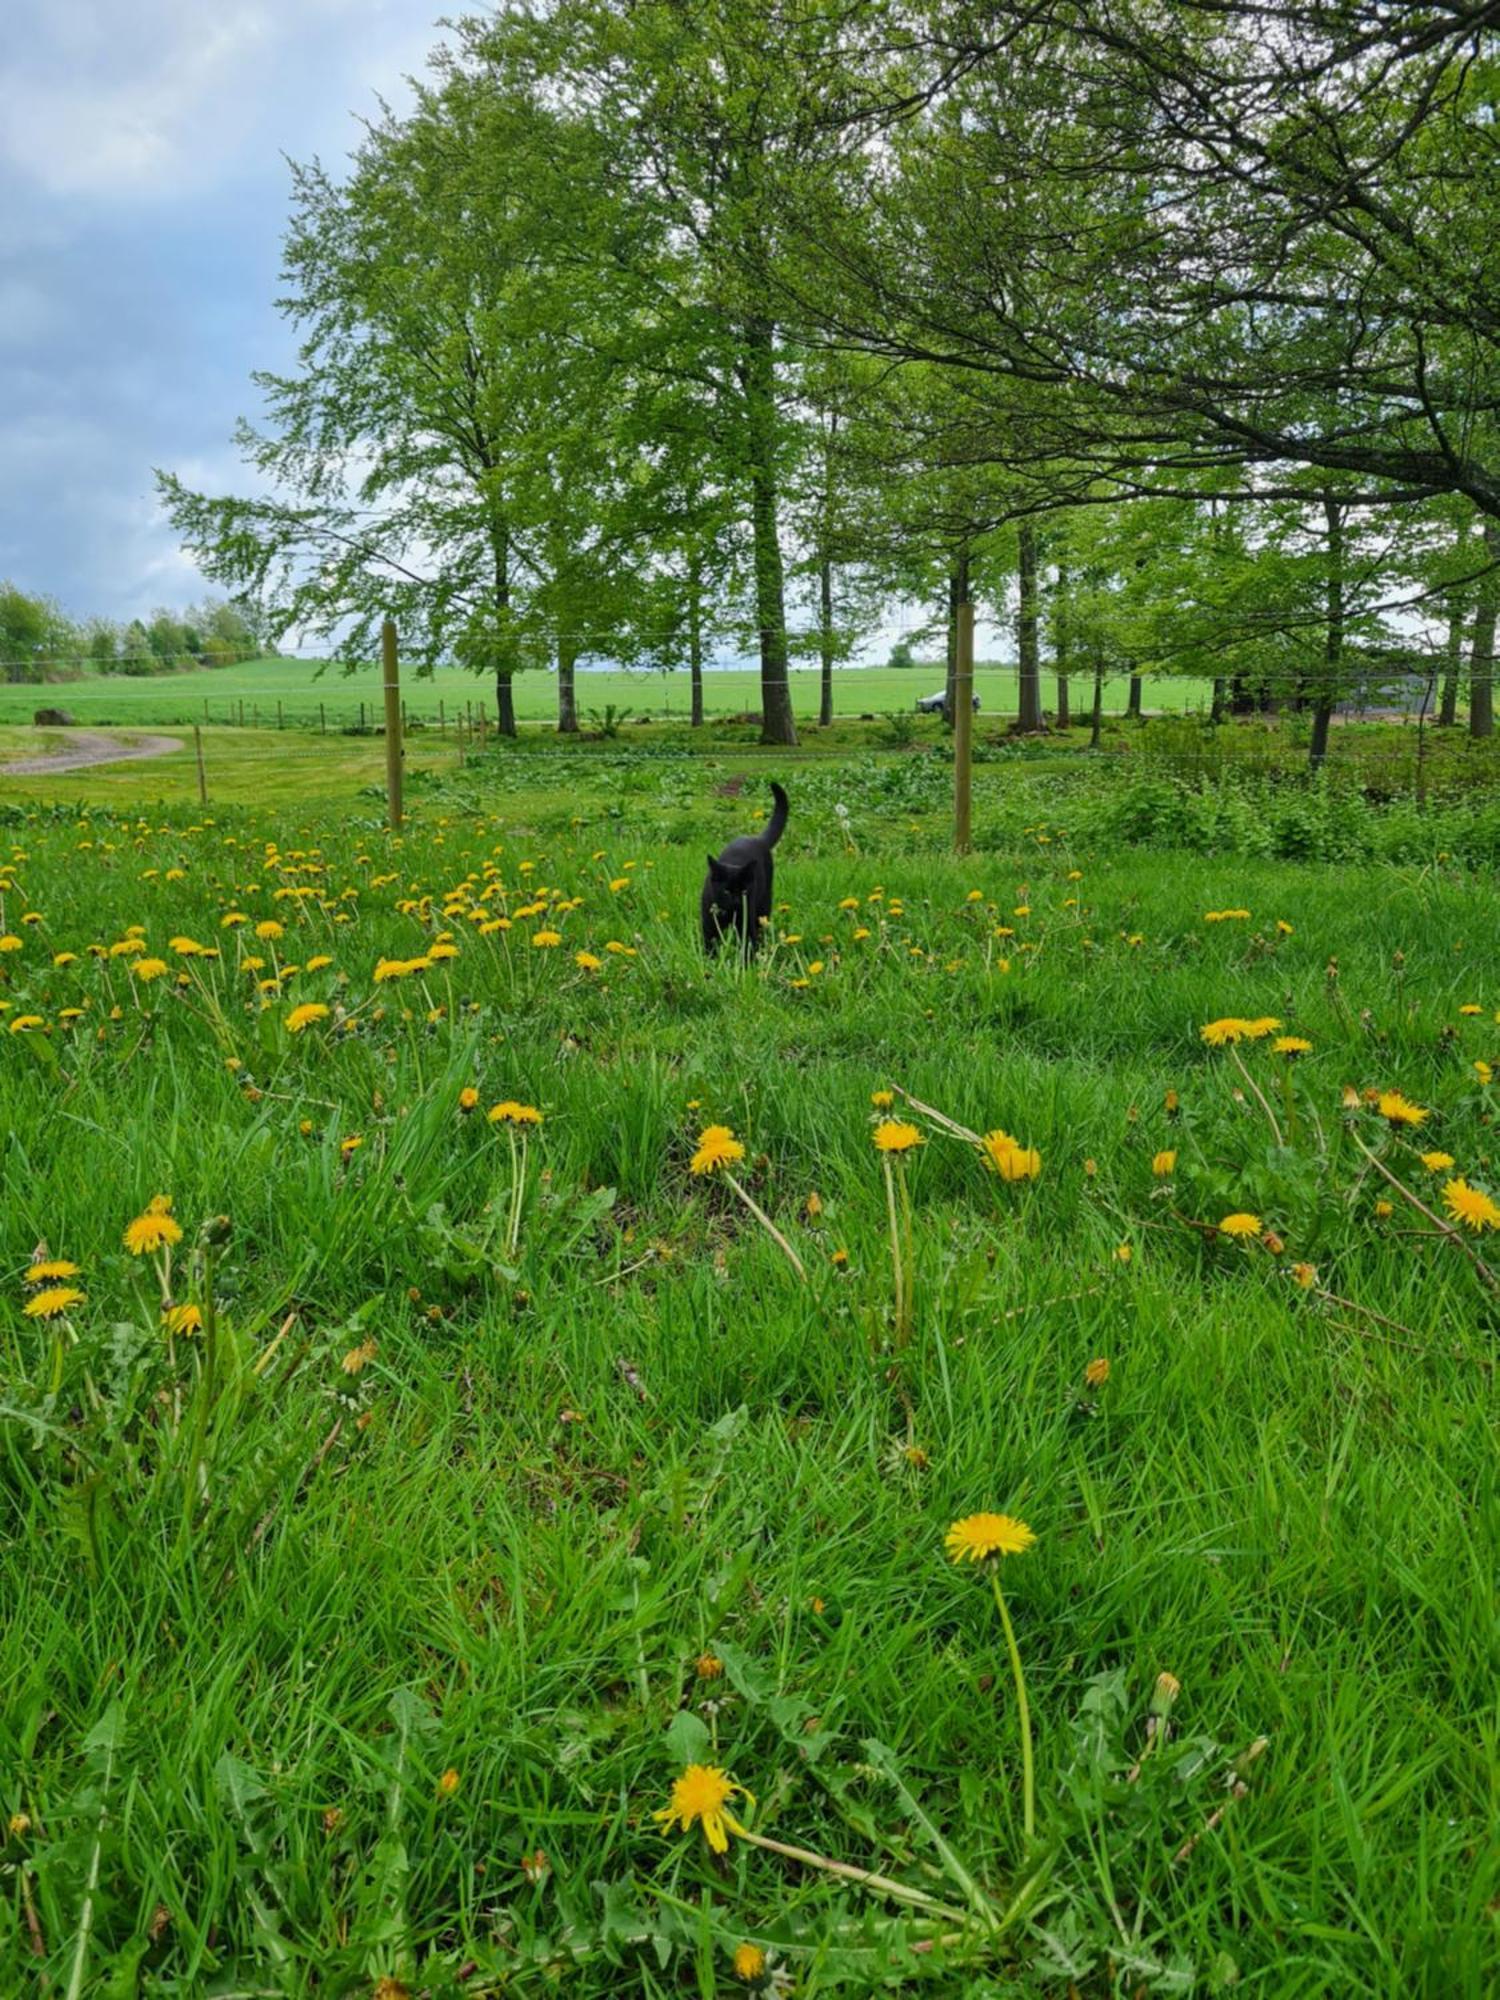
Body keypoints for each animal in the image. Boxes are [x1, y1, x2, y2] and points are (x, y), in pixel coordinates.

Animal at [704, 780, 792, 960]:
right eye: (726, 891)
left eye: (744, 892)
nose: (737, 902)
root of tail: (757, 838)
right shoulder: (709, 924)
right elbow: (709, 944)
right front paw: (710, 961)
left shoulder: (746, 921)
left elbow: (748, 944)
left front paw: (747, 964)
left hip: (763, 904)